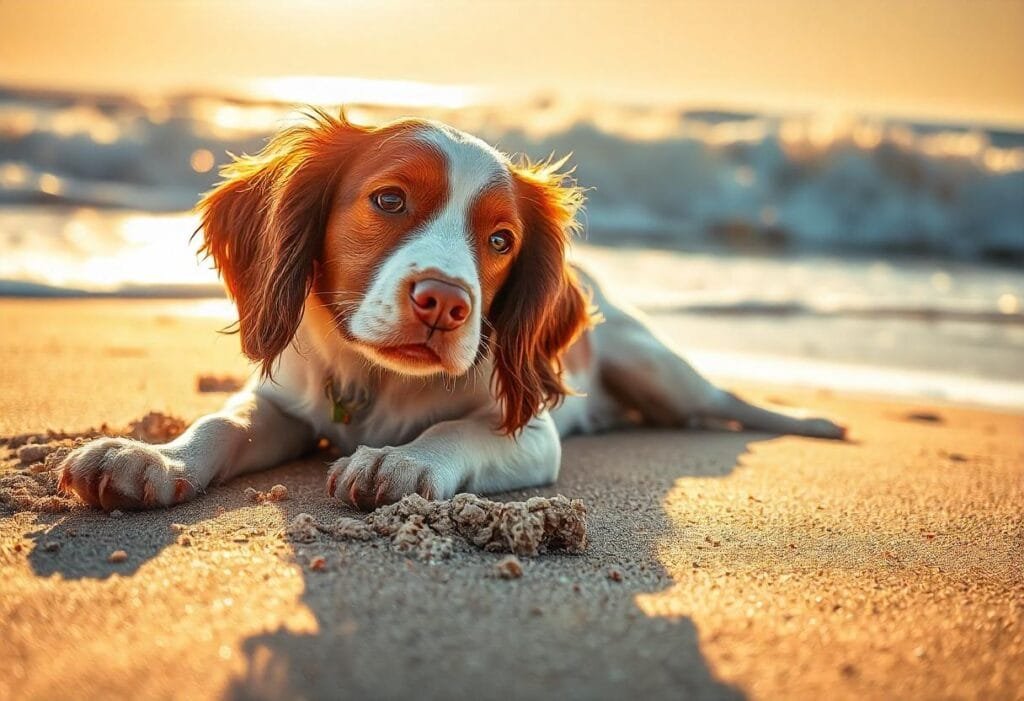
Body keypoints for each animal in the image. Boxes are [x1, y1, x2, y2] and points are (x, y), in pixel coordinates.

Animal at [56, 112, 843, 511]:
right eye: (389, 199)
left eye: (500, 241)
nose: (446, 303)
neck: (376, 382)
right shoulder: (284, 401)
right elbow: (223, 422)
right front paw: (151, 456)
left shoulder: (530, 433)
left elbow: (455, 431)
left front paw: (402, 462)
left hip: (652, 365)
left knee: (719, 402)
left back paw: (814, 420)